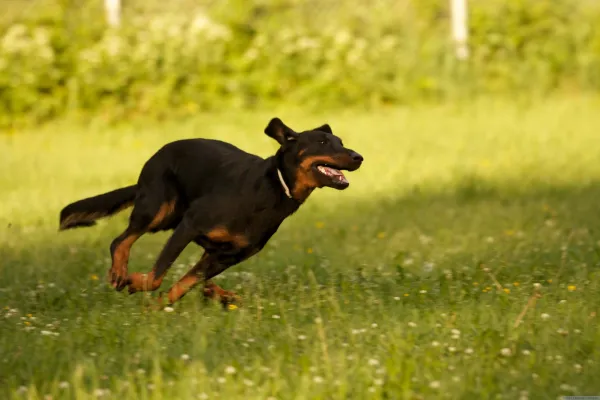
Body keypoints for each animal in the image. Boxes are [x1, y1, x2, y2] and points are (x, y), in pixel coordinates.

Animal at [58, 119, 364, 306]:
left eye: (340, 141)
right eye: (322, 143)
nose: (358, 157)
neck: (276, 187)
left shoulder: (225, 256)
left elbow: (182, 285)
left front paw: (155, 309)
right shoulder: (190, 225)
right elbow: (157, 277)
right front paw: (136, 283)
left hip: (170, 222)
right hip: (159, 209)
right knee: (120, 240)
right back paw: (120, 273)